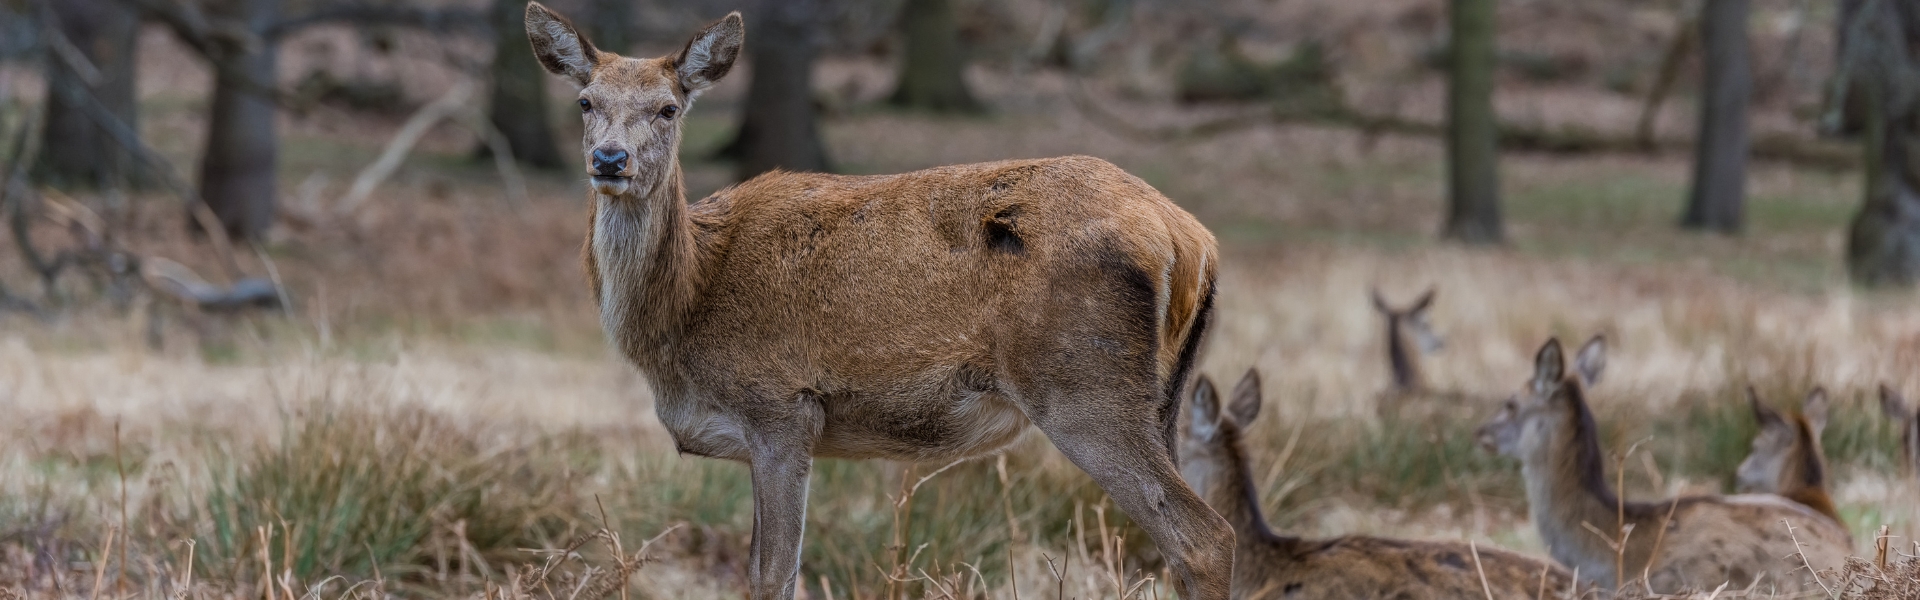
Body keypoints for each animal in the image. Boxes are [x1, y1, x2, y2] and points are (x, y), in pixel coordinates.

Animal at [518, 3, 1228, 596]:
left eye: (668, 108)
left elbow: (775, 576)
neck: (684, 313)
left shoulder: (783, 407)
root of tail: (1192, 238)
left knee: (1205, 540)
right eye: (585, 101)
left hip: (1082, 383)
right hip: (1160, 395)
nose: (610, 160)